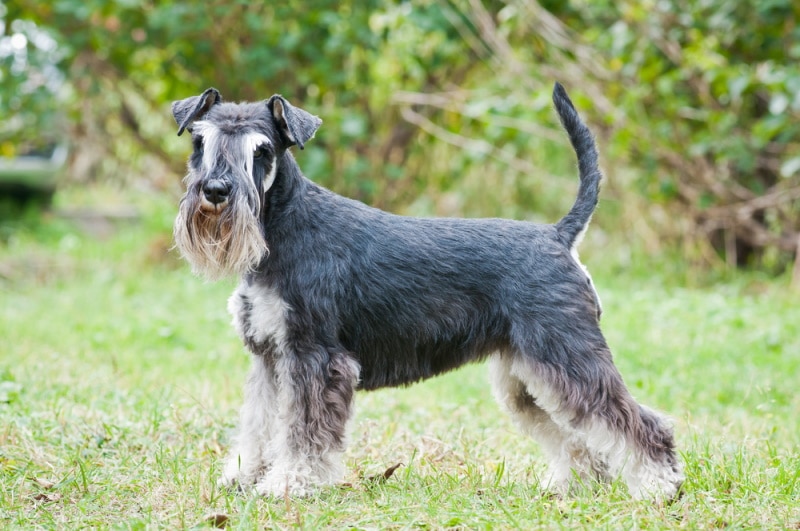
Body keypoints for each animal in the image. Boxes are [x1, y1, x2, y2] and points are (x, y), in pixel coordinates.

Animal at [172, 81, 684, 500]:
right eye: (200, 141)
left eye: (261, 150)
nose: (215, 191)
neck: (280, 230)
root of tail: (559, 236)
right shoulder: (269, 357)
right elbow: (259, 423)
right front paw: (242, 476)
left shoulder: (315, 357)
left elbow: (301, 432)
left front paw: (288, 483)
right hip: (528, 377)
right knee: (577, 434)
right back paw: (574, 485)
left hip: (568, 356)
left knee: (637, 422)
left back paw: (659, 486)